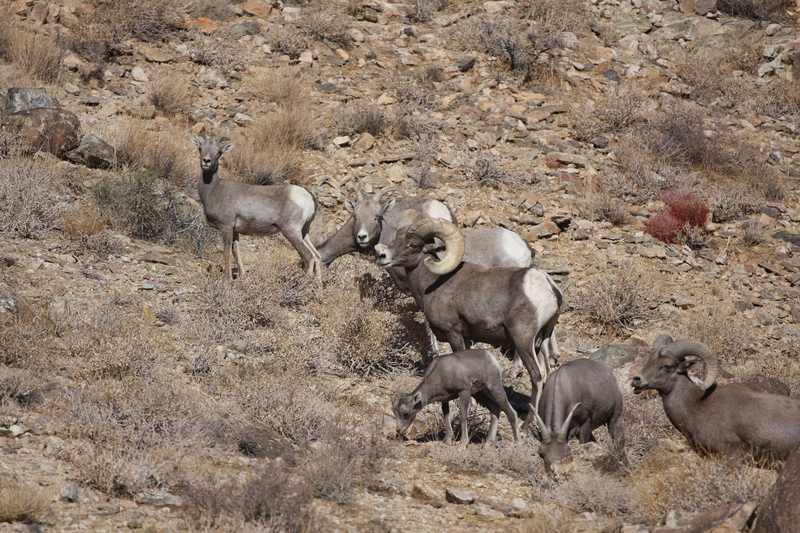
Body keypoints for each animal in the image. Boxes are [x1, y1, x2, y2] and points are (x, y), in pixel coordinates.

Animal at [192, 134, 320, 278]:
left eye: (219, 152)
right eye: (200, 149)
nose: (206, 161)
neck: (213, 189)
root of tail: (308, 197)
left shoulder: (226, 227)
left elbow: (227, 253)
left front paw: (227, 279)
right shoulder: (235, 231)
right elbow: (236, 252)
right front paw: (242, 276)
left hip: (291, 232)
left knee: (309, 256)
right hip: (304, 232)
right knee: (317, 256)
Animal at [376, 214, 564, 406]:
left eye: (413, 245)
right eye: (395, 240)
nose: (383, 256)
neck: (432, 283)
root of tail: (549, 287)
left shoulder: (453, 333)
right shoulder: (466, 337)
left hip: (524, 340)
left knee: (537, 375)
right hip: (542, 339)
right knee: (547, 373)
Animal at [390, 348, 520, 446]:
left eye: (405, 413)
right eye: (394, 412)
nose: (399, 431)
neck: (441, 372)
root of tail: (491, 357)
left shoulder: (464, 392)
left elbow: (463, 416)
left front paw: (462, 444)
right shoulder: (445, 400)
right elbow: (446, 416)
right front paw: (447, 442)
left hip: (494, 386)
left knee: (511, 412)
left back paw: (517, 443)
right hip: (479, 393)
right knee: (495, 408)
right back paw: (487, 445)